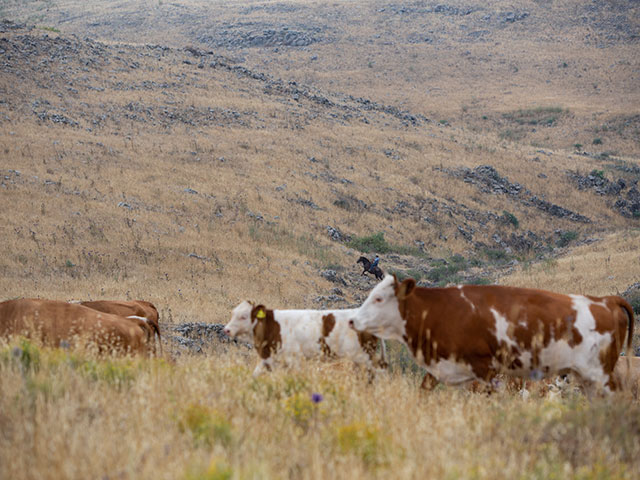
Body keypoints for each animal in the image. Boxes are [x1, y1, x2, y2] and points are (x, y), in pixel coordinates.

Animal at [224, 302, 384, 376]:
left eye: (244, 316)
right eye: (232, 313)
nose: (226, 329)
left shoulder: (293, 359)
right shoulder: (269, 357)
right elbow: (256, 373)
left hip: (364, 357)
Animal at [350, 274, 636, 394]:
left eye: (378, 298)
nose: (352, 319)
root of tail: (606, 300)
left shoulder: (485, 369)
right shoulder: (443, 369)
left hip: (600, 375)